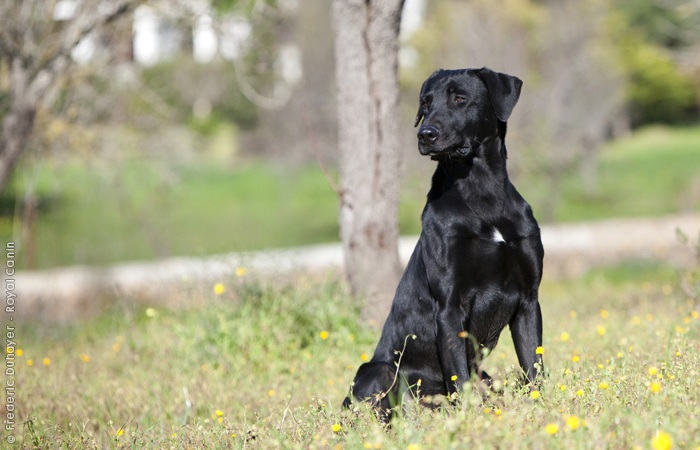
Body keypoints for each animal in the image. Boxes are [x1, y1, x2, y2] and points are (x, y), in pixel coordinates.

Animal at [342, 67, 544, 418]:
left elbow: (534, 365)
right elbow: (459, 378)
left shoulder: (529, 299)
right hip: (379, 370)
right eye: (425, 103)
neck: (483, 192)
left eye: (460, 98)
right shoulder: (450, 306)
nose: (425, 134)